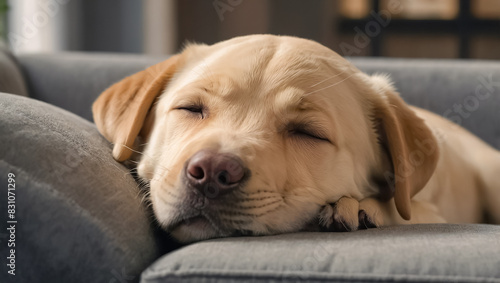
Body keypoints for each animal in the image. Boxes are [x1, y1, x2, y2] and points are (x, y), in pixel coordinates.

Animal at [93, 35, 500, 244]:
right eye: (190, 109)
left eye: (308, 133)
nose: (211, 172)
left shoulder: (430, 212)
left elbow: (400, 210)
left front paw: (361, 208)